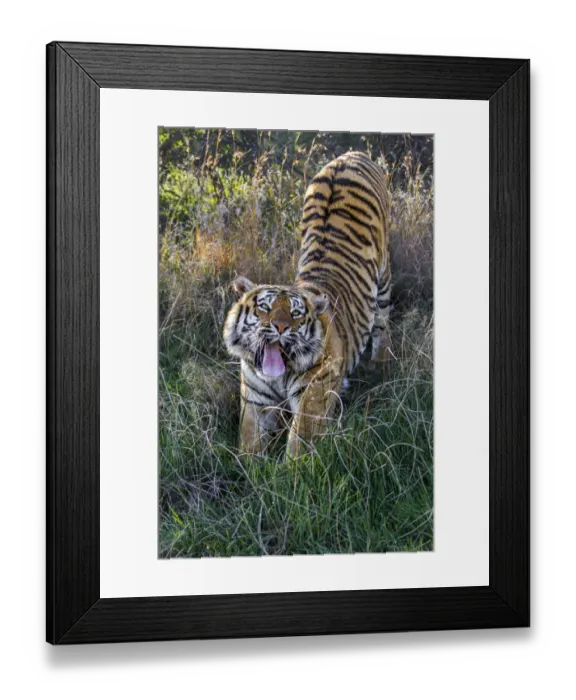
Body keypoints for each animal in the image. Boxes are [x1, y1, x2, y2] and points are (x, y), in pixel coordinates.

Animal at [223, 151, 392, 458]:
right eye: (264, 308)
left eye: (296, 313)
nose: (280, 327)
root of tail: (351, 154)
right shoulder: (253, 400)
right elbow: (249, 445)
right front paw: (250, 462)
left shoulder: (314, 392)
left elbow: (300, 442)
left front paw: (292, 466)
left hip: (384, 275)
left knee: (383, 321)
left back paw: (380, 364)